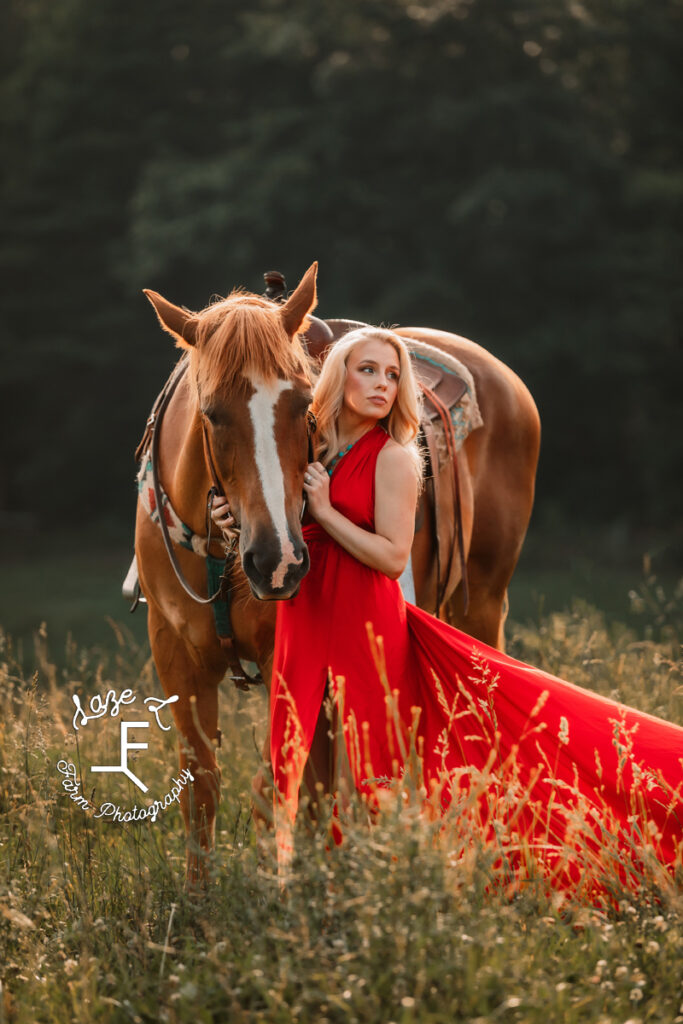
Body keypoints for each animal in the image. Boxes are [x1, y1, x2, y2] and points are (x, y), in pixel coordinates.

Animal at [135, 264, 540, 880]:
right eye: (212, 413)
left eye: (304, 406)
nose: (276, 560)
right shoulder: (175, 657)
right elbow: (202, 789)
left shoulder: (292, 658)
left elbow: (287, 789)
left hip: (484, 604)